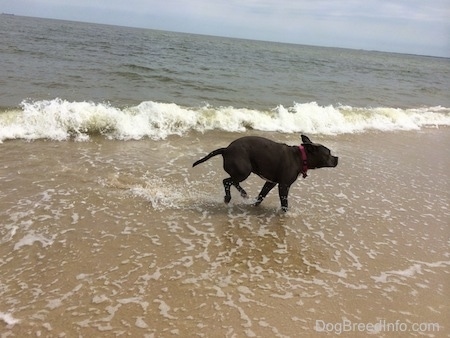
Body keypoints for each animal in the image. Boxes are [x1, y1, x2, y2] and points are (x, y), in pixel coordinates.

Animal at [192, 135, 338, 211]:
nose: (337, 158)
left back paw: (243, 194)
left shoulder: (270, 183)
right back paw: (228, 197)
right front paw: (285, 213)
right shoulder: (283, 185)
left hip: (241, 172)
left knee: (233, 182)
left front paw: (254, 205)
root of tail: (226, 149)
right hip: (244, 171)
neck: (302, 157)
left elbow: (261, 195)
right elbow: (284, 202)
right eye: (329, 153)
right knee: (227, 181)